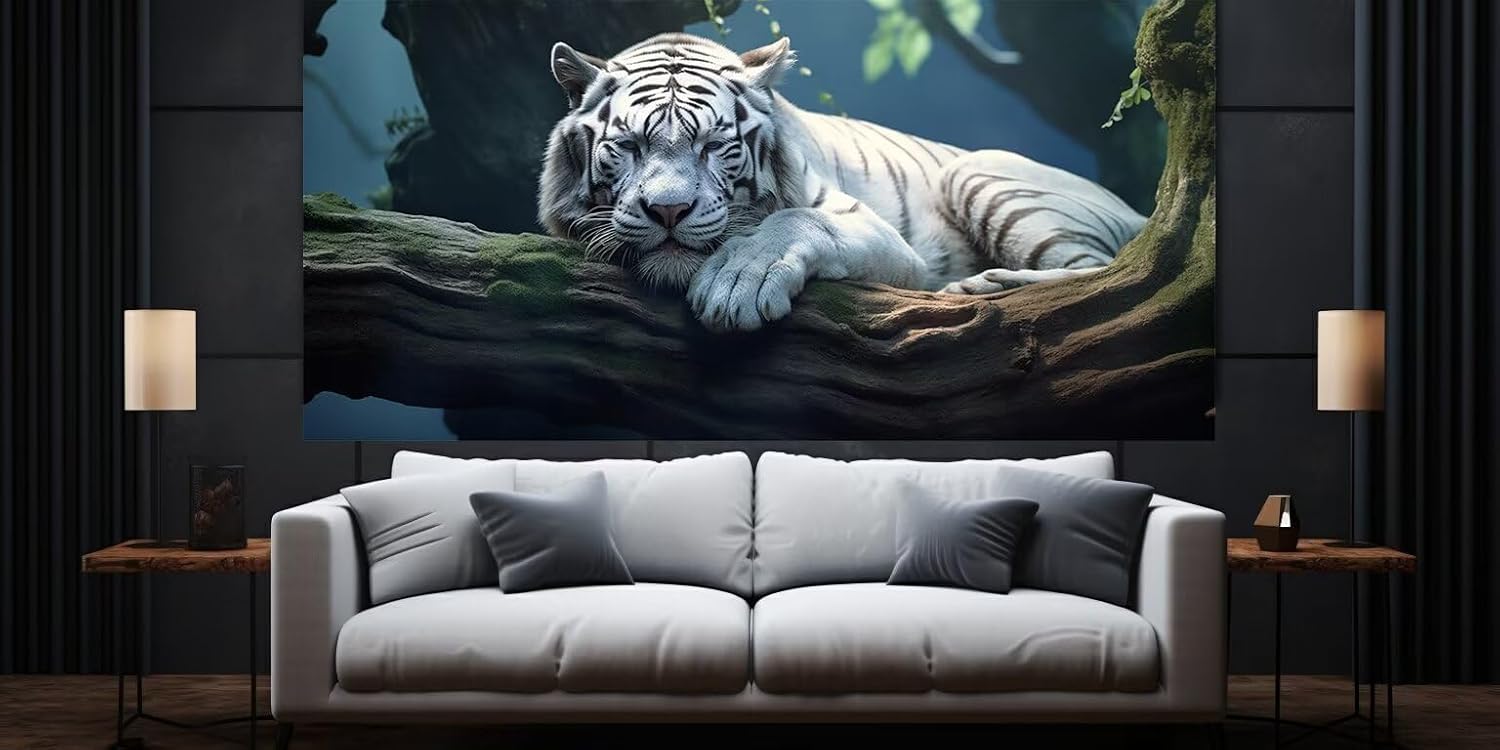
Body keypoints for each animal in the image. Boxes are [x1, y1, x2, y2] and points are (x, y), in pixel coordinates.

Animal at [538, 32, 1147, 332]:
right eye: (630, 147)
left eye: (712, 145)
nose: (669, 212)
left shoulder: (890, 243)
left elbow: (795, 220)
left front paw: (736, 284)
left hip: (976, 172)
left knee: (1104, 274)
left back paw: (986, 286)